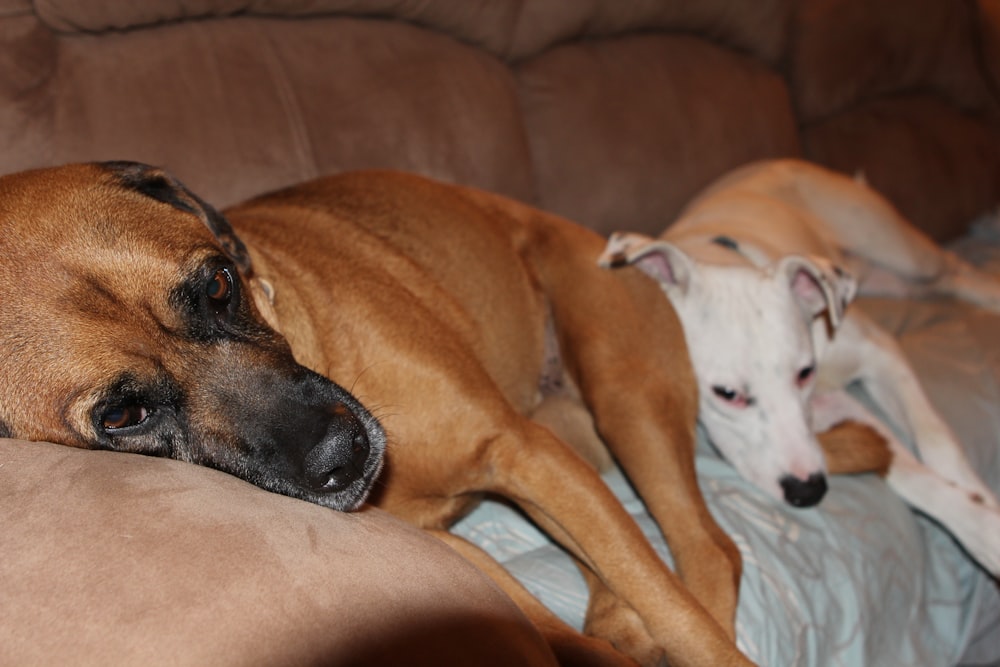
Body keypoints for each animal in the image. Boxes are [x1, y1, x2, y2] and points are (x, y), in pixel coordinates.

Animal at [0, 164, 752, 664]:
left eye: (217, 284)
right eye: (123, 415)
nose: (344, 454)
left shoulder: (523, 451)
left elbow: (679, 615)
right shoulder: (456, 546)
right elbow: (558, 629)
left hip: (622, 391)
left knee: (705, 552)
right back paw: (617, 619)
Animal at [596, 159, 996, 576]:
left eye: (805, 373)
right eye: (727, 394)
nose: (809, 490)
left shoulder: (880, 353)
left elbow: (937, 437)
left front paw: (979, 500)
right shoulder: (833, 407)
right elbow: (905, 471)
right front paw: (976, 522)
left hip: (902, 251)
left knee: (955, 269)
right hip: (892, 280)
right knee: (945, 282)